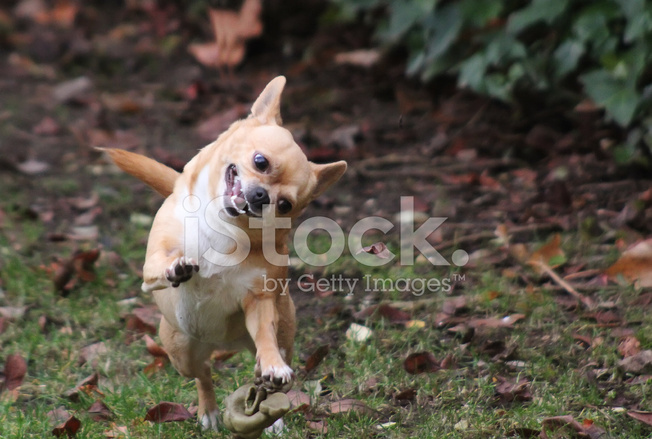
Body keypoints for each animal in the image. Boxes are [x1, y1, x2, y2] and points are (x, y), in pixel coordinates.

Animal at [103, 76, 346, 434]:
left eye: (285, 205)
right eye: (260, 162)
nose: (261, 197)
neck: (224, 228)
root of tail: (225, 344)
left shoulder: (259, 301)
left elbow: (265, 337)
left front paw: (272, 368)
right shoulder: (151, 268)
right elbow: (161, 265)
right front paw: (177, 268)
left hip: (282, 334)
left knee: (260, 368)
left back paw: (272, 414)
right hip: (181, 352)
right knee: (202, 374)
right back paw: (209, 412)